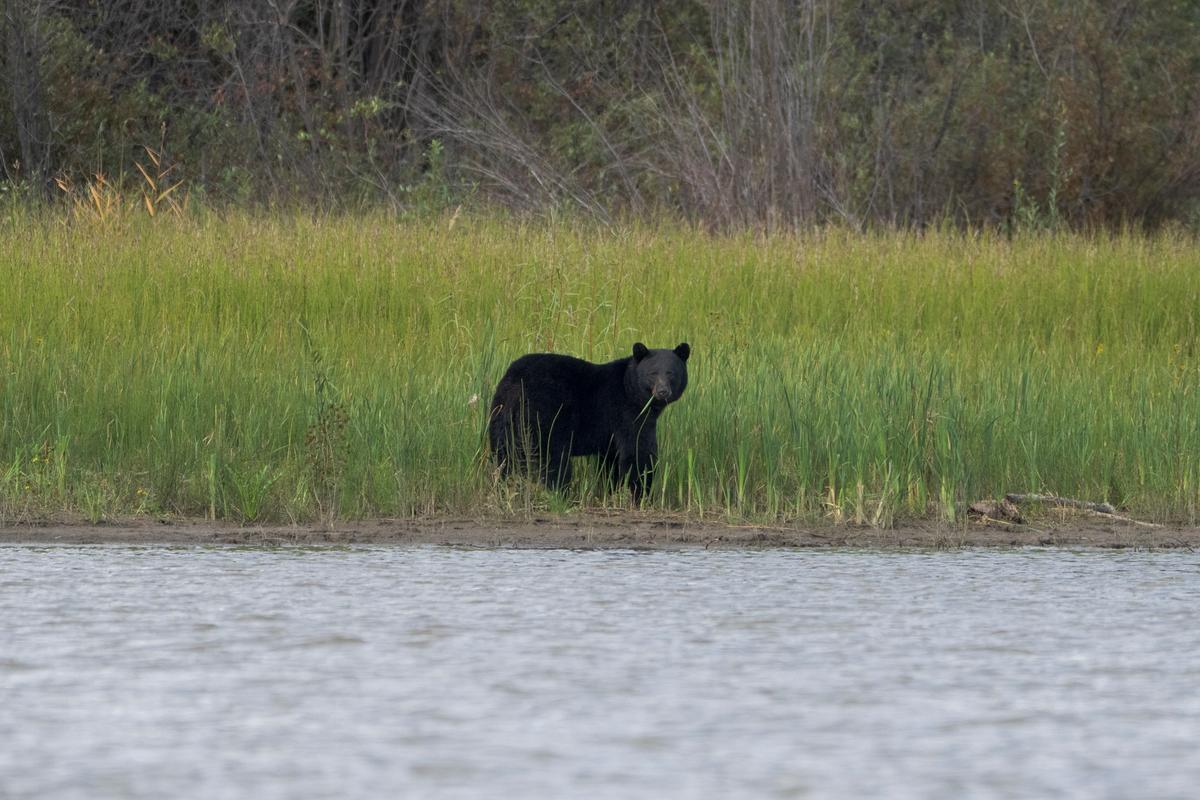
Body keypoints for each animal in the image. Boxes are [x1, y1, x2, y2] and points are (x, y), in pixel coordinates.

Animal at [488, 342, 690, 502]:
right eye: (653, 373)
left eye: (671, 373)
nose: (663, 391)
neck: (630, 388)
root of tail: (516, 382)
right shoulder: (627, 413)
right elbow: (638, 452)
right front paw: (641, 495)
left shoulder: (610, 435)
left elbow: (611, 461)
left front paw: (613, 492)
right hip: (544, 417)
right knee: (553, 460)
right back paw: (561, 495)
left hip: (501, 415)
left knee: (503, 456)